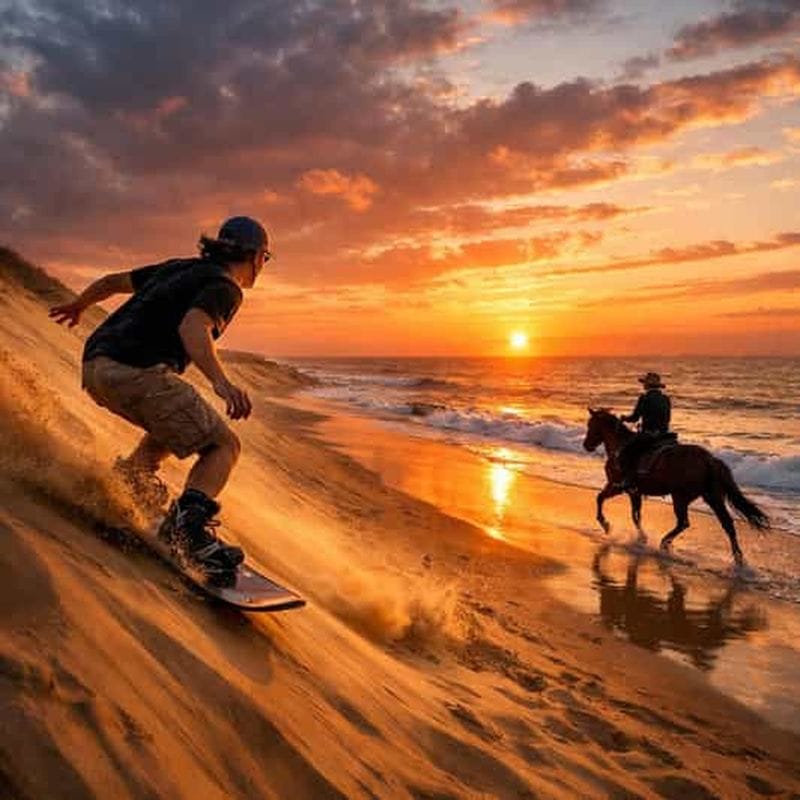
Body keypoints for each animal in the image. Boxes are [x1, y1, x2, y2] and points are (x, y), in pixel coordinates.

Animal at [582, 408, 769, 566]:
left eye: (591, 425)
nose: (586, 445)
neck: (620, 446)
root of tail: (709, 460)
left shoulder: (618, 486)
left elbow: (601, 499)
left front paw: (606, 524)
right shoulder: (634, 492)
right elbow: (636, 515)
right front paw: (640, 538)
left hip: (680, 497)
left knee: (684, 522)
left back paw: (665, 543)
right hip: (712, 497)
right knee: (726, 524)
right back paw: (738, 558)